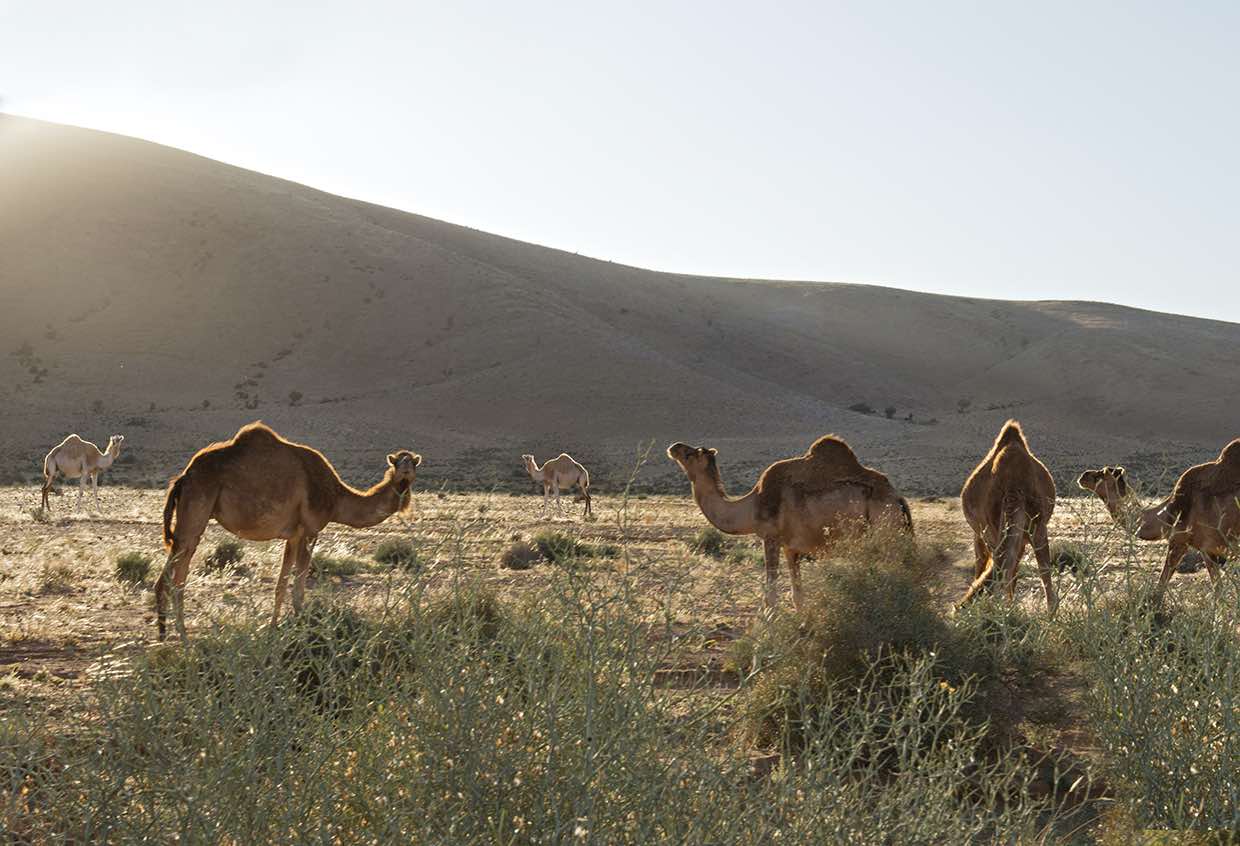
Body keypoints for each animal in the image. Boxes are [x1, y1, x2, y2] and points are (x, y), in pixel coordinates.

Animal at [158, 421, 421, 640]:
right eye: (397, 462)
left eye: (413, 462)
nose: (406, 471)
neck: (336, 498)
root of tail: (183, 477)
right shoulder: (310, 531)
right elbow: (298, 589)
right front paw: (304, 633)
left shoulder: (293, 536)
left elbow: (281, 586)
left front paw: (273, 629)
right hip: (196, 509)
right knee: (173, 576)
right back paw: (177, 638)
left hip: (191, 518)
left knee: (176, 572)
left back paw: (171, 633)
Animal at [669, 431, 912, 610]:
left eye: (691, 453)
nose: (674, 446)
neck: (751, 505)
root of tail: (898, 499)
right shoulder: (790, 547)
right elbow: (798, 594)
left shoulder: (770, 538)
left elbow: (771, 593)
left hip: (885, 529)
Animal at [957, 419, 1056, 612]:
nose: (958, 608)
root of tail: (1013, 483)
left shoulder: (983, 535)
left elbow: (984, 566)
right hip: (1037, 526)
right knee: (1039, 570)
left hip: (994, 531)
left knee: (1003, 569)